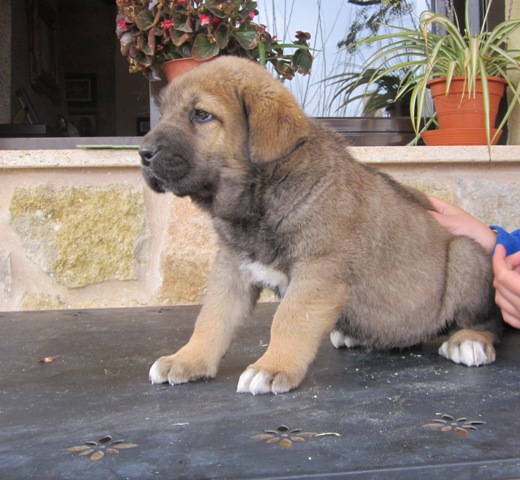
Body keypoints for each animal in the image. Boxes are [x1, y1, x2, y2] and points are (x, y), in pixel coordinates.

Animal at [138, 56, 500, 394]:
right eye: (164, 112)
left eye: (201, 115)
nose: (142, 153)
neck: (262, 198)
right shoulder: (232, 268)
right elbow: (212, 318)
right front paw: (188, 359)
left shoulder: (319, 271)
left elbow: (289, 320)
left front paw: (272, 367)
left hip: (467, 254)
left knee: (490, 320)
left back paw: (469, 341)